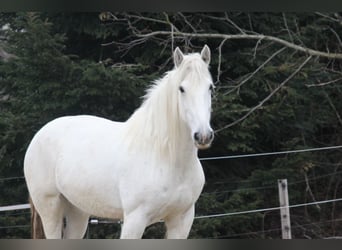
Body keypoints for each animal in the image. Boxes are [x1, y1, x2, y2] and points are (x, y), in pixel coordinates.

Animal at [24, 45, 214, 238]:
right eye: (181, 89)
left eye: (210, 88)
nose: (203, 135)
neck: (165, 156)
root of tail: (39, 134)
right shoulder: (134, 219)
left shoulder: (181, 220)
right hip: (50, 208)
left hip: (78, 211)